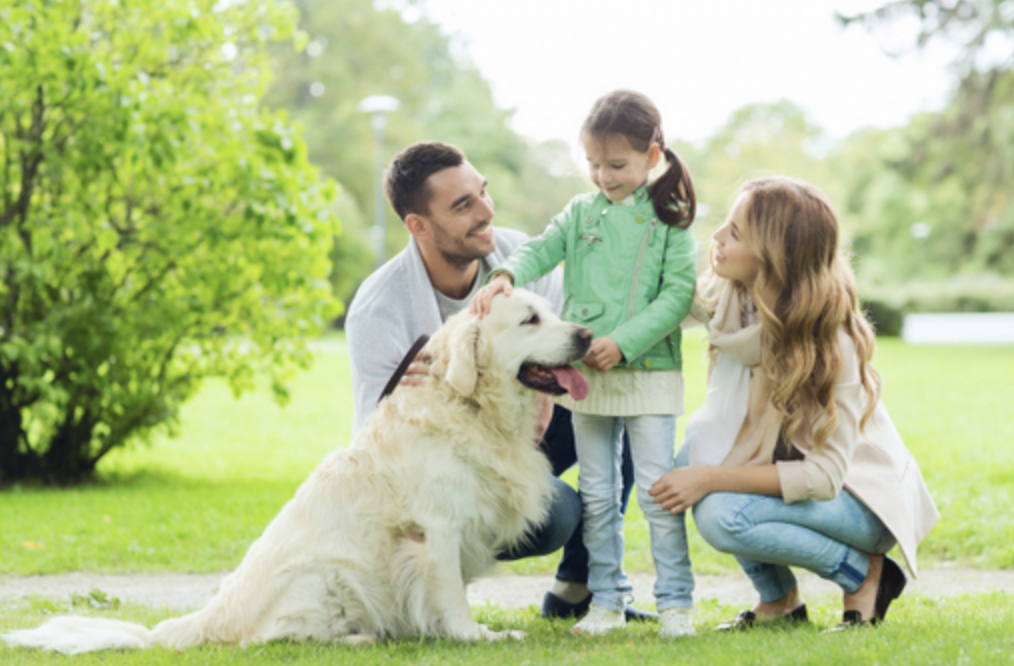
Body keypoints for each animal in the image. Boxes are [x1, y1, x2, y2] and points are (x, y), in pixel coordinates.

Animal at [3, 287, 592, 652]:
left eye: (551, 310)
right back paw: (360, 636)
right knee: (271, 638)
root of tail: (209, 616)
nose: (586, 336)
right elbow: (450, 596)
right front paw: (478, 637)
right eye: (530, 320)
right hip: (324, 577)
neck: (470, 407)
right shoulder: (438, 531)